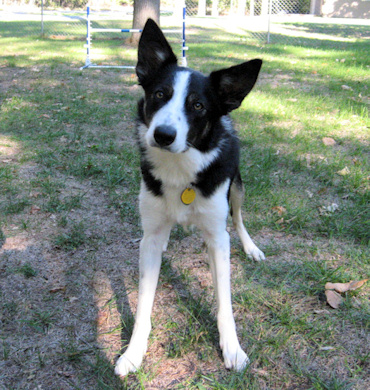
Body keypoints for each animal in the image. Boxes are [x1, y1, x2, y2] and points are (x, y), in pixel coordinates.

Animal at [115, 19, 264, 376]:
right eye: (159, 94)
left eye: (198, 105)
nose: (163, 135)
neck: (180, 170)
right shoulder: (152, 232)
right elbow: (144, 302)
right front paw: (133, 351)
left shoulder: (217, 237)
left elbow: (225, 302)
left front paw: (232, 348)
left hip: (237, 186)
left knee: (238, 218)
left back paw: (251, 247)